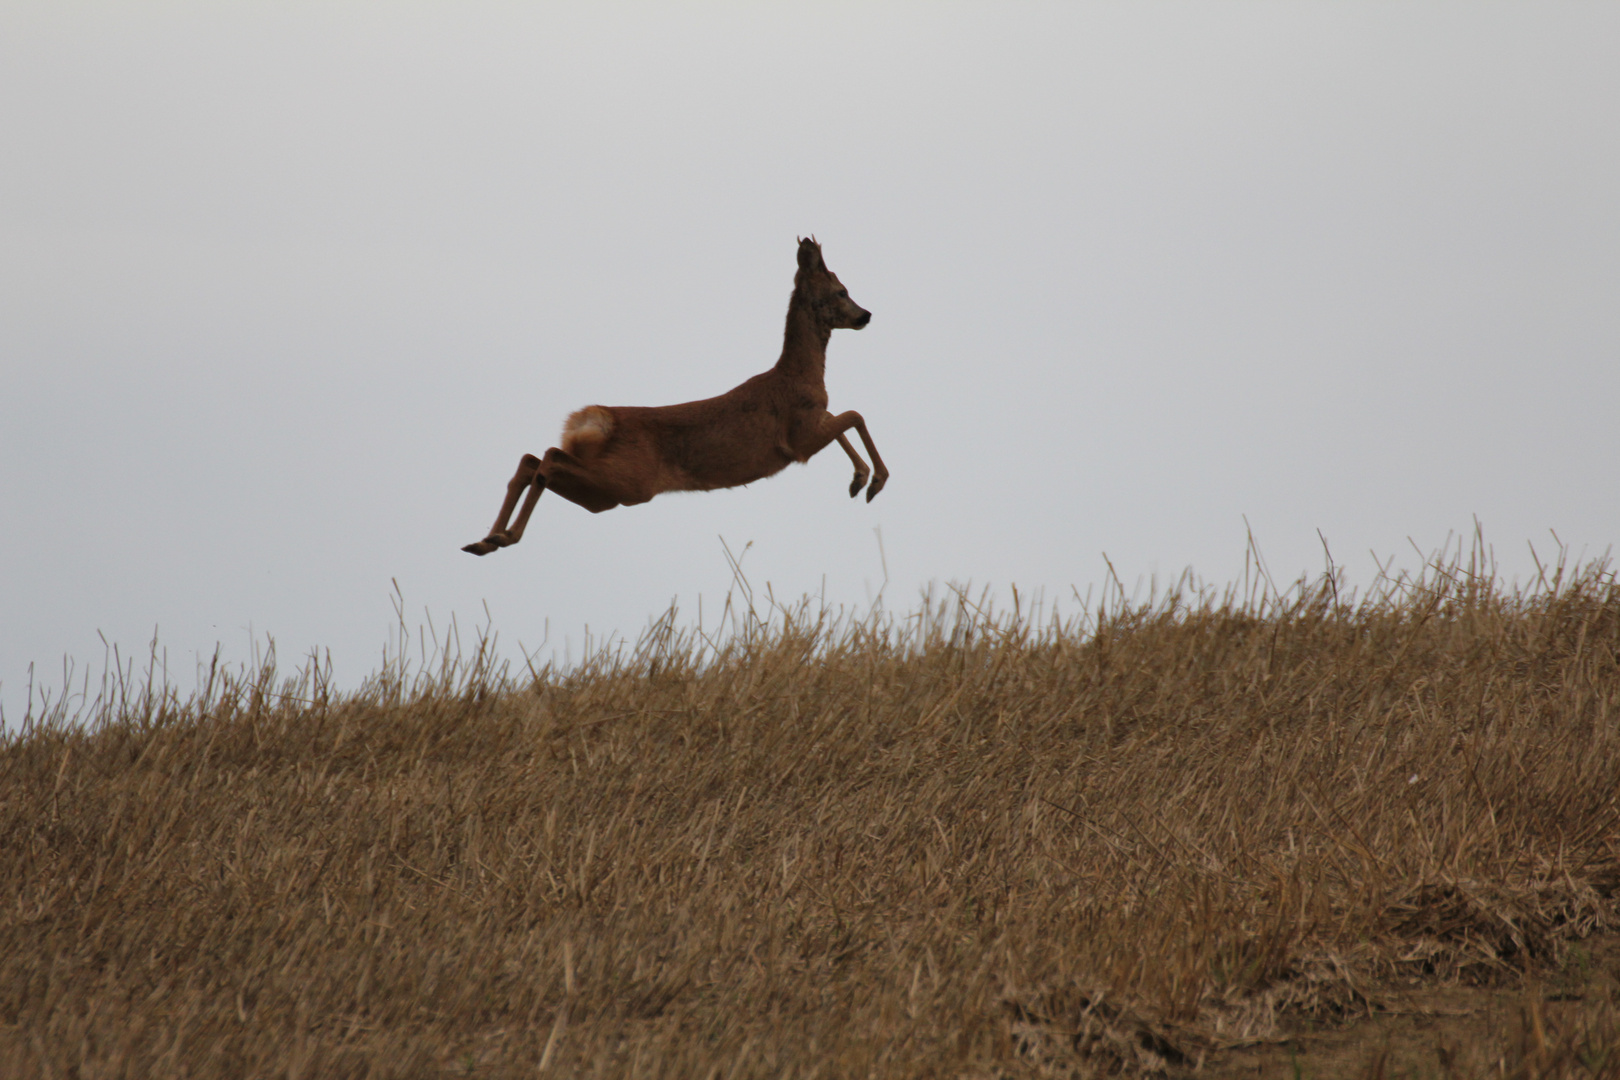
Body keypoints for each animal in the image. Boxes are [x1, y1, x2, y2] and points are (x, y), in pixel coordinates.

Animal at [463, 236, 894, 557]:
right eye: (841, 291)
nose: (867, 315)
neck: (801, 375)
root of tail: (595, 419)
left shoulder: (812, 425)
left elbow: (843, 419)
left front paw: (858, 480)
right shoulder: (799, 438)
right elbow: (854, 414)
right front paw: (874, 481)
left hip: (605, 495)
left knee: (532, 460)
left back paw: (486, 540)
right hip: (627, 482)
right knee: (547, 458)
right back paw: (501, 537)